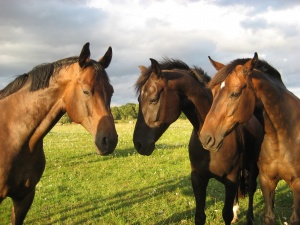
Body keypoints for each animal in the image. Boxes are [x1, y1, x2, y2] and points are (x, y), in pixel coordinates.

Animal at [132, 58, 262, 225]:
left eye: (153, 99)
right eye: (139, 100)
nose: (138, 144)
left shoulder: (230, 178)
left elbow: (225, 214)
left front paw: (233, 215)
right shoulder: (198, 179)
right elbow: (200, 215)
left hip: (252, 166)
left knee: (251, 188)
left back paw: (249, 217)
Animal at [199, 52, 300, 225]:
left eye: (235, 93)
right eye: (213, 92)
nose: (206, 138)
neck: (282, 136)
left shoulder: (298, 185)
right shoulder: (267, 181)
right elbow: (269, 215)